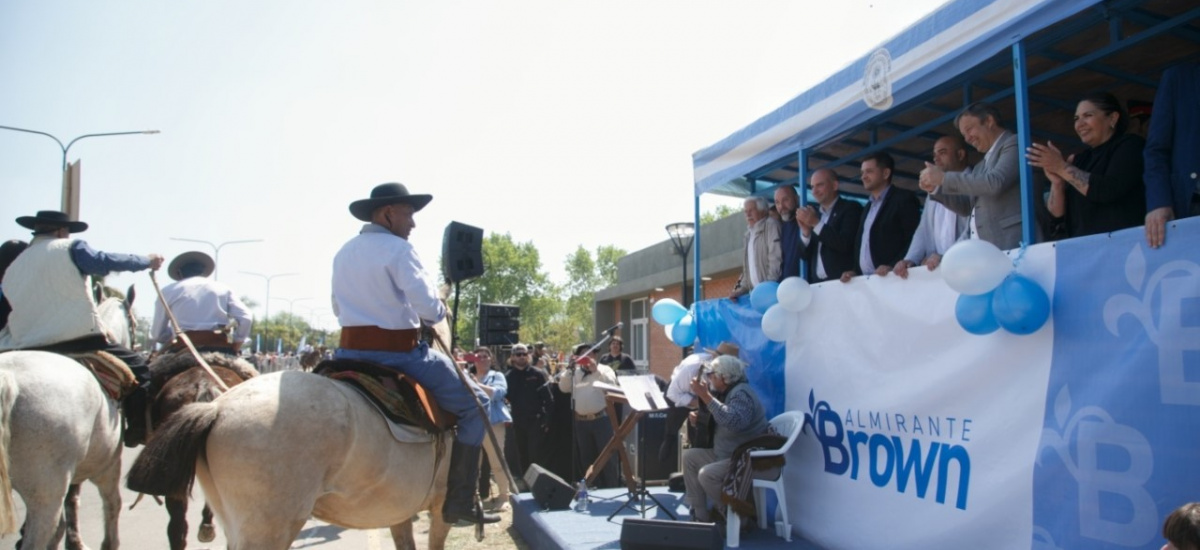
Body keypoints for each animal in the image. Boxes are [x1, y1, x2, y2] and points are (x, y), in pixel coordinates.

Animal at [0, 291, 137, 550]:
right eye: (134, 325)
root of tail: (8, 376)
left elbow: (72, 504)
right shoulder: (108, 466)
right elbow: (112, 505)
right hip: (46, 497)